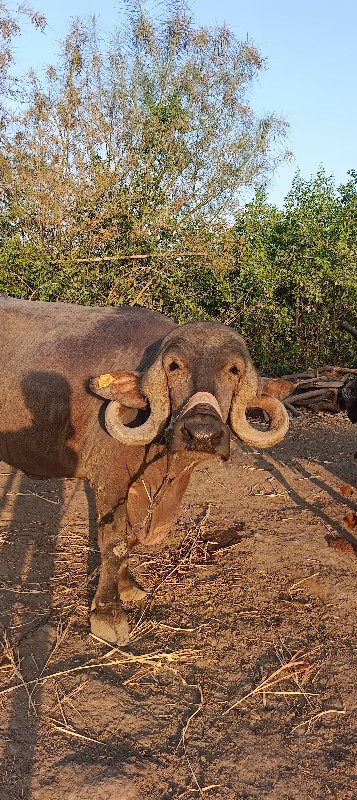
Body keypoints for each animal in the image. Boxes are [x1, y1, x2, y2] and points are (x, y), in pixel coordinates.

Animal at [0, 296, 288, 648]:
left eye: (233, 370)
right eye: (174, 366)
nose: (202, 434)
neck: (163, 465)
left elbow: (131, 539)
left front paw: (128, 587)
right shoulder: (108, 481)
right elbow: (113, 542)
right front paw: (108, 613)